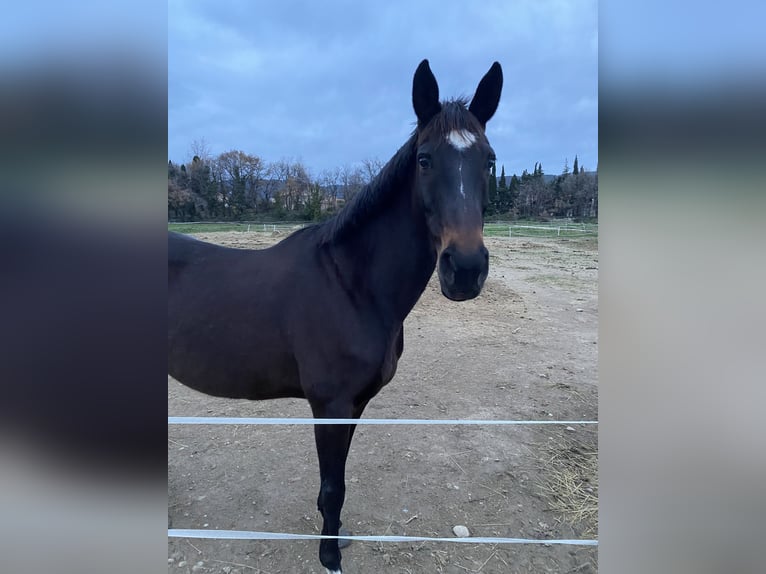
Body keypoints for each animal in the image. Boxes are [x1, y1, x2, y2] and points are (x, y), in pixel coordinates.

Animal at [168, 59, 503, 573]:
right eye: (425, 159)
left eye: (489, 160)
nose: (464, 270)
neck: (352, 285)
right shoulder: (330, 405)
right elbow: (333, 486)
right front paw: (329, 556)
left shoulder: (354, 405)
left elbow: (338, 483)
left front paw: (337, 537)